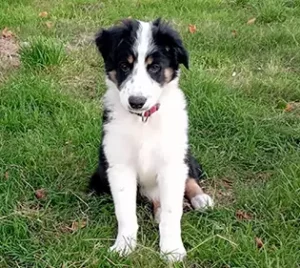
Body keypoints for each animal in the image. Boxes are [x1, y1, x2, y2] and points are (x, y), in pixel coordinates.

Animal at [89, 18, 213, 262]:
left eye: (154, 67)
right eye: (124, 66)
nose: (136, 102)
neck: (143, 120)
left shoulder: (171, 164)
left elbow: (172, 213)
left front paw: (172, 250)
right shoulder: (119, 165)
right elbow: (125, 212)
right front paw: (124, 247)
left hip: (184, 153)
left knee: (189, 179)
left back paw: (200, 198)